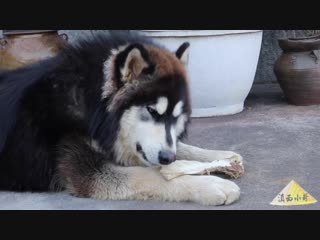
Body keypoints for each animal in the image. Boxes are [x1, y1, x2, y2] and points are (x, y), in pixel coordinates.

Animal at [0, 31, 241, 205]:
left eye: (176, 116)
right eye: (152, 111)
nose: (167, 158)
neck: (95, 107)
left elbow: (181, 147)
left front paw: (221, 157)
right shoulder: (90, 173)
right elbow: (152, 175)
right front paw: (210, 185)